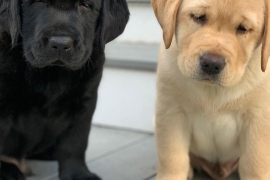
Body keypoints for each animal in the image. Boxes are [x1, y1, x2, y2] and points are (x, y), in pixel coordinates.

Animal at [0, 0, 130, 179]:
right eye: (38, 2)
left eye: (85, 6)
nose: (60, 43)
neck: (51, 74)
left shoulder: (83, 102)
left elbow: (75, 142)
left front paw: (78, 174)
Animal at [153, 0, 270, 179]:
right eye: (199, 17)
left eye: (243, 28)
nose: (212, 64)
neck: (211, 90)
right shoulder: (171, 113)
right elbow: (172, 158)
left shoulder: (258, 118)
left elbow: (254, 164)